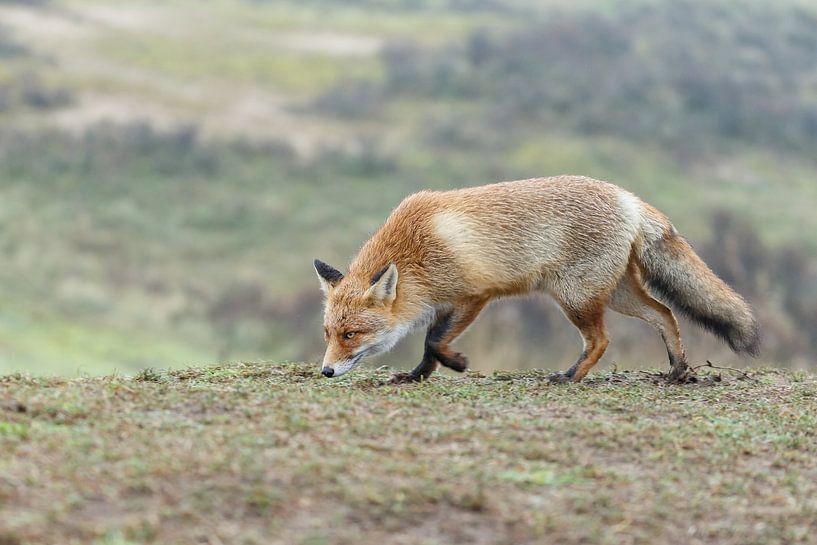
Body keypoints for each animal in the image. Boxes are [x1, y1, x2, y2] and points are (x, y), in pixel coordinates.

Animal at [312, 176, 760, 380]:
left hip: (575, 297)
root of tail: (628, 197)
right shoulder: (441, 304)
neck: (415, 252)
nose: (326, 372)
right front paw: (417, 376)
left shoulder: (474, 296)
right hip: (617, 294)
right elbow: (428, 346)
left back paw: (570, 377)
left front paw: (457, 363)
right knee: (666, 314)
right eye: (328, 334)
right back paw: (678, 371)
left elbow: (434, 341)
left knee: (602, 339)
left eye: (350, 334)